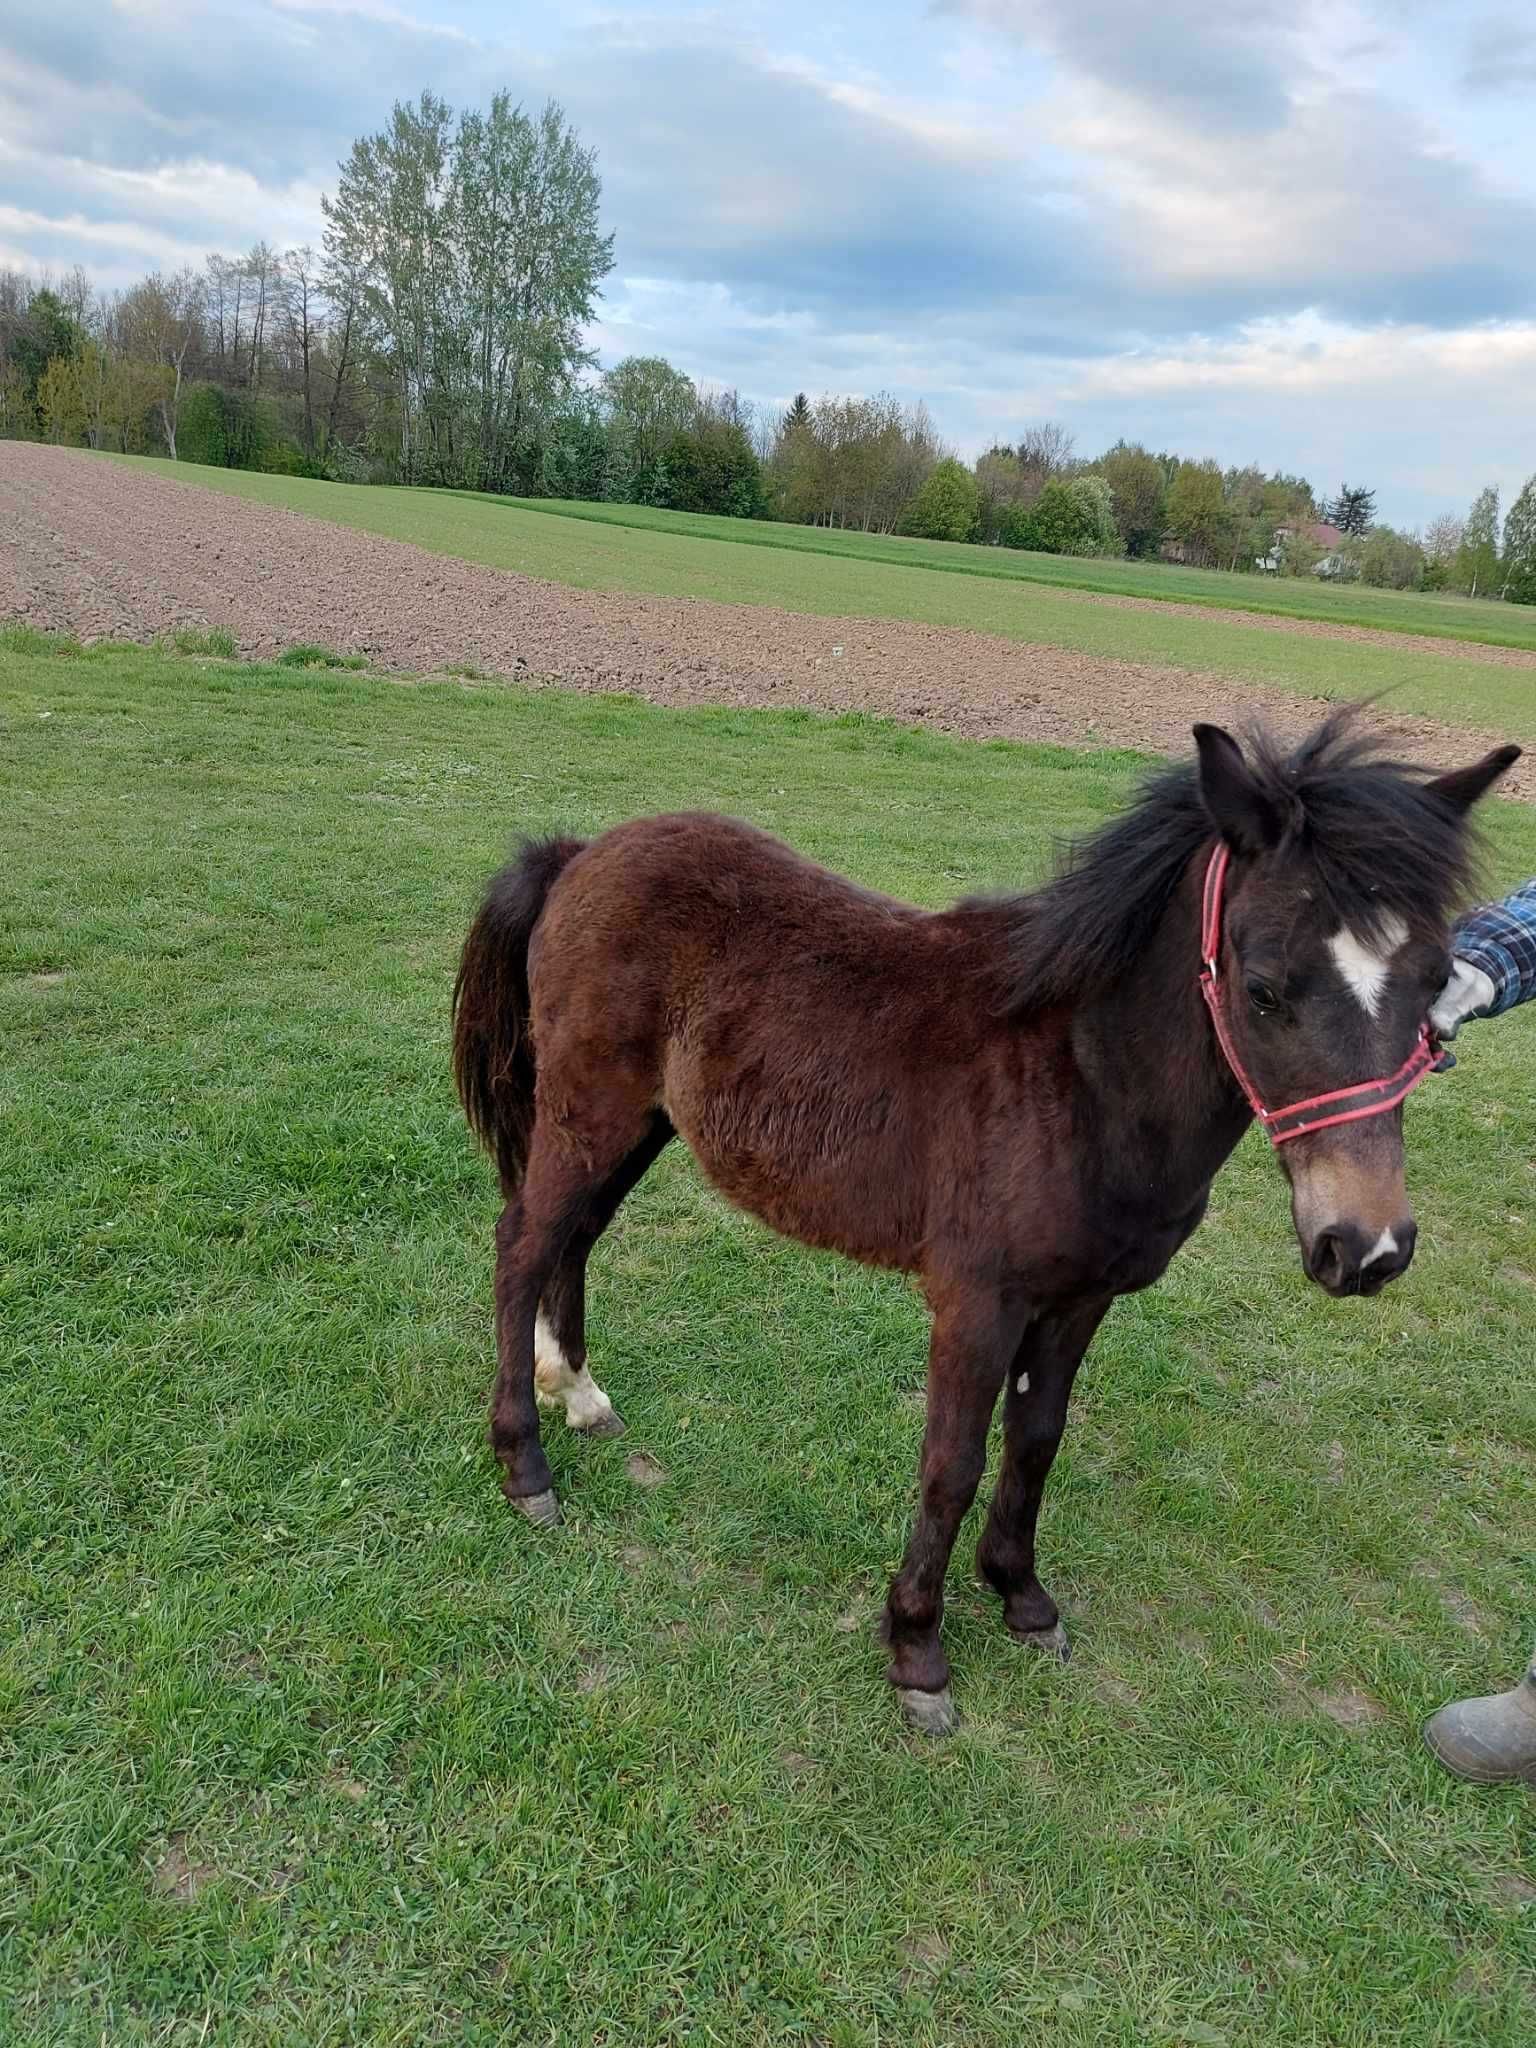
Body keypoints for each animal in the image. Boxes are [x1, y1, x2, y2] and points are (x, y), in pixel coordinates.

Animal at [454, 716, 1515, 1728]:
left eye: (1435, 983)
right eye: (1263, 988)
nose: (1366, 1248)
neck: (1083, 1079)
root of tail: (581, 853)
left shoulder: (1080, 1301)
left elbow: (1037, 1438)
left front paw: (1023, 1598)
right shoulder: (977, 1302)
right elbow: (952, 1464)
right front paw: (917, 1651)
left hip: (642, 1125)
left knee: (573, 1241)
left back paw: (578, 1393)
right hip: (589, 1114)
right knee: (522, 1246)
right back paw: (526, 1465)